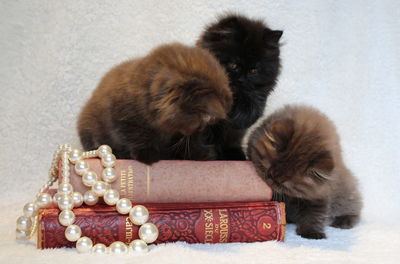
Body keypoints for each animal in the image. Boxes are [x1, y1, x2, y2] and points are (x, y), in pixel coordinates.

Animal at [77, 42, 231, 164]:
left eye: (205, 123)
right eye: (202, 118)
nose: (211, 120)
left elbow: (191, 142)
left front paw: (201, 155)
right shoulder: (124, 118)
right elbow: (136, 135)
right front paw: (147, 154)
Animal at [247, 105, 362, 239]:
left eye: (283, 183)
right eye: (267, 170)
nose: (270, 180)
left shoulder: (319, 195)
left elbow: (314, 214)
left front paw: (311, 233)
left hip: (347, 196)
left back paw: (344, 221)